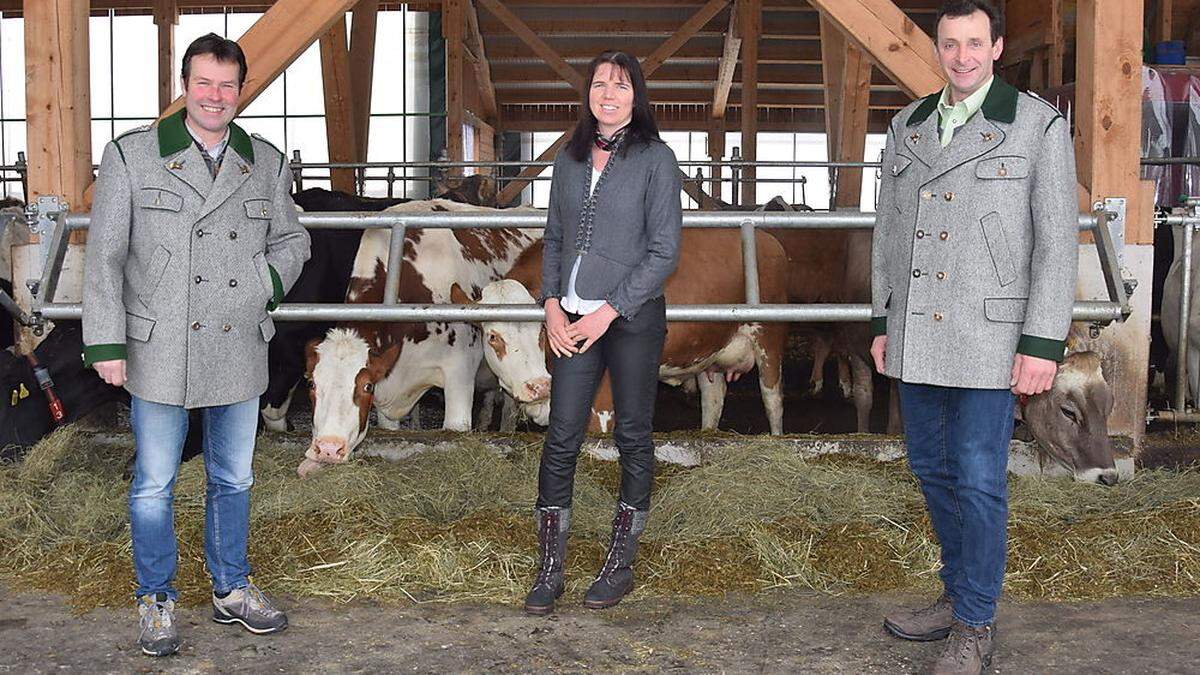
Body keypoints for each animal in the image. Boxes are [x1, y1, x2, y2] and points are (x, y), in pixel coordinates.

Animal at [453, 228, 792, 432]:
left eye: (541, 331)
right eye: (493, 337)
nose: (538, 387)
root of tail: (769, 240)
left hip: (768, 341)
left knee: (773, 402)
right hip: (711, 352)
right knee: (713, 399)